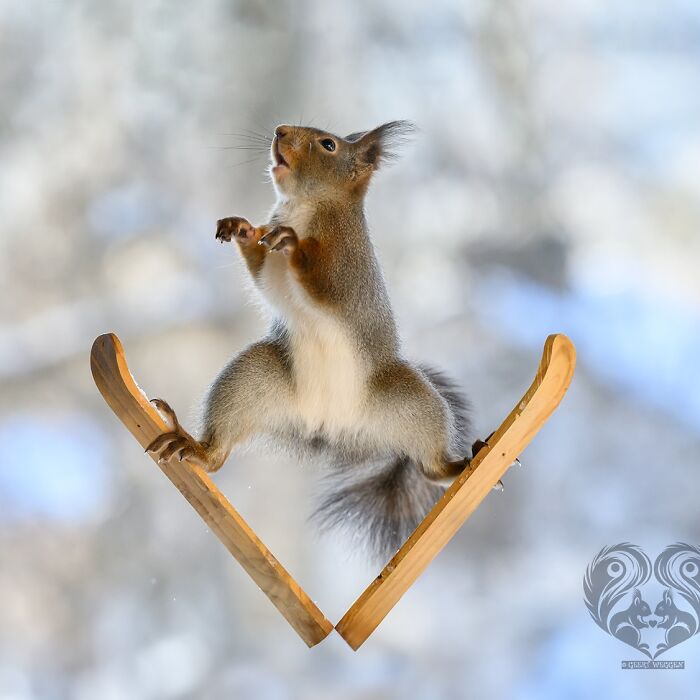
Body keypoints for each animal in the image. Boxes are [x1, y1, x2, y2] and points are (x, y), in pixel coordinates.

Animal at [147, 120, 489, 562]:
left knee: (429, 465)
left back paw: (455, 467)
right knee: (218, 455)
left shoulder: (345, 267)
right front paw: (242, 229)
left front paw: (291, 241)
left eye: (328, 145)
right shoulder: (271, 268)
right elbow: (265, 274)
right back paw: (200, 450)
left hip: (412, 405)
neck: (306, 206)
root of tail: (329, 425)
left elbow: (321, 280)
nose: (279, 130)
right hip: (253, 381)